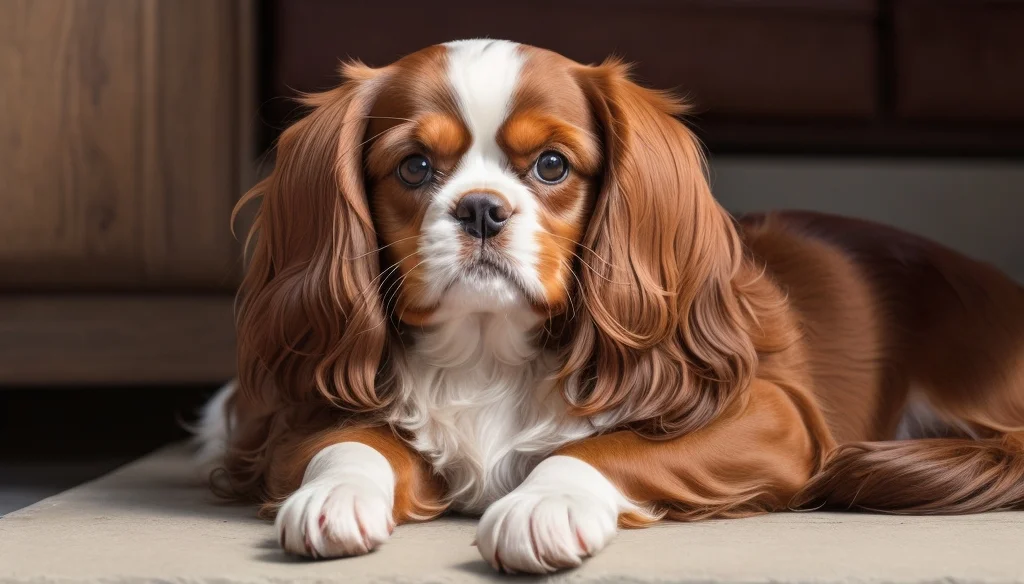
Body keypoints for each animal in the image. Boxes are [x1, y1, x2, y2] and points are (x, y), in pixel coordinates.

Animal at [193, 39, 1024, 573]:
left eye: (552, 165)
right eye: (416, 167)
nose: (482, 210)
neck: (490, 351)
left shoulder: (768, 415)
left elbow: (603, 447)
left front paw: (544, 505)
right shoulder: (291, 415)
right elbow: (351, 438)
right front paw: (334, 494)